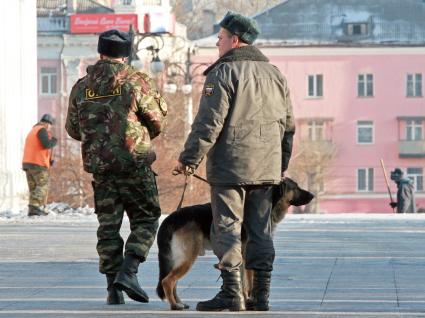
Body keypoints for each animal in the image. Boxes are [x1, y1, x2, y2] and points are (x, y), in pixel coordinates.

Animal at [157, 179, 314, 310]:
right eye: (296, 187)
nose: (312, 195)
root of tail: (170, 218)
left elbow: (246, 281)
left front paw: (247, 301)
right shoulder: (246, 257)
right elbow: (247, 283)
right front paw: (247, 301)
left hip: (180, 259)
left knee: (173, 282)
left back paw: (179, 302)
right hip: (188, 258)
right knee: (168, 281)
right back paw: (175, 305)